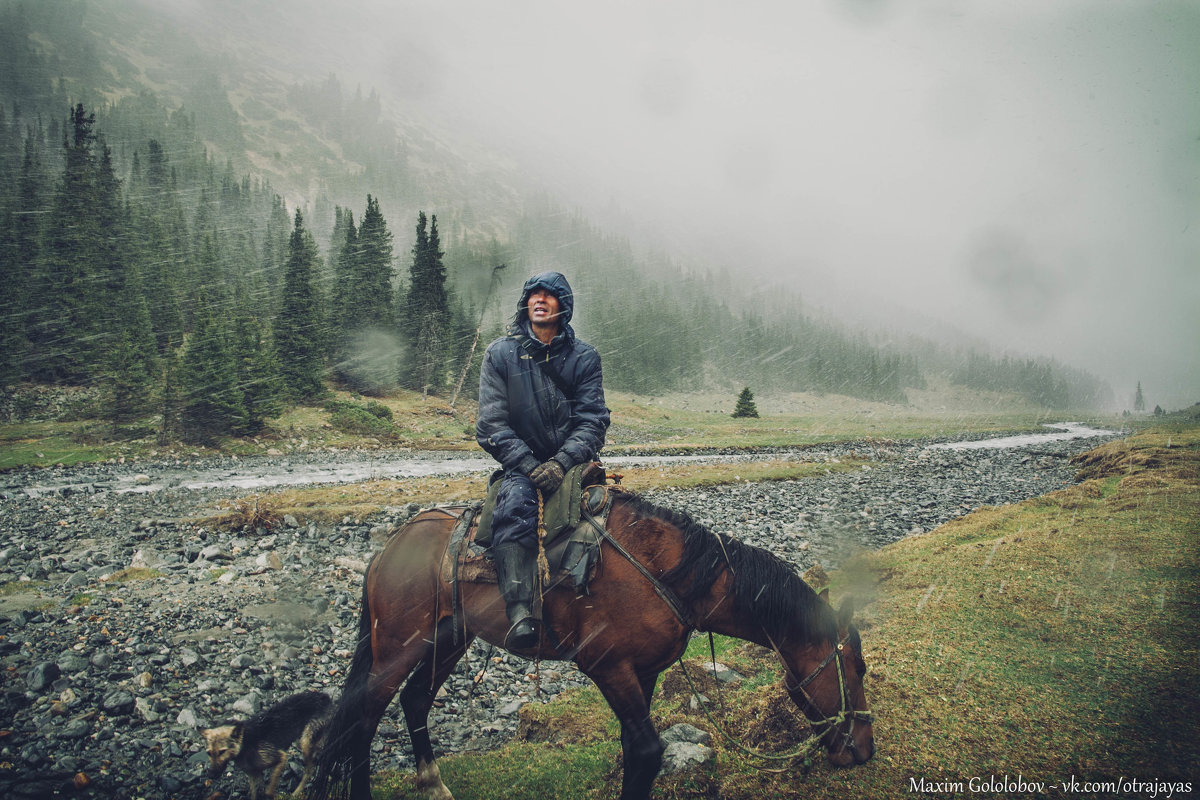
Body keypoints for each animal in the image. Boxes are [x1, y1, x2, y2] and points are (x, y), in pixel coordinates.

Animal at [201, 690, 333, 800]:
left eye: (222, 751)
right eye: (208, 753)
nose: (210, 774)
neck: (245, 745)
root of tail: (324, 696)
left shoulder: (280, 757)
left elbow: (269, 792)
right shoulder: (254, 775)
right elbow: (255, 794)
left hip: (305, 743)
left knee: (310, 770)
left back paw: (295, 793)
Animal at [309, 489, 873, 800]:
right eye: (855, 668)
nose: (863, 752)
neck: (670, 575)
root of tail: (390, 546)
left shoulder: (645, 673)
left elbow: (634, 750)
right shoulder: (609, 666)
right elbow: (646, 752)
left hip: (448, 639)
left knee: (413, 701)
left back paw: (434, 783)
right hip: (397, 647)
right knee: (364, 718)